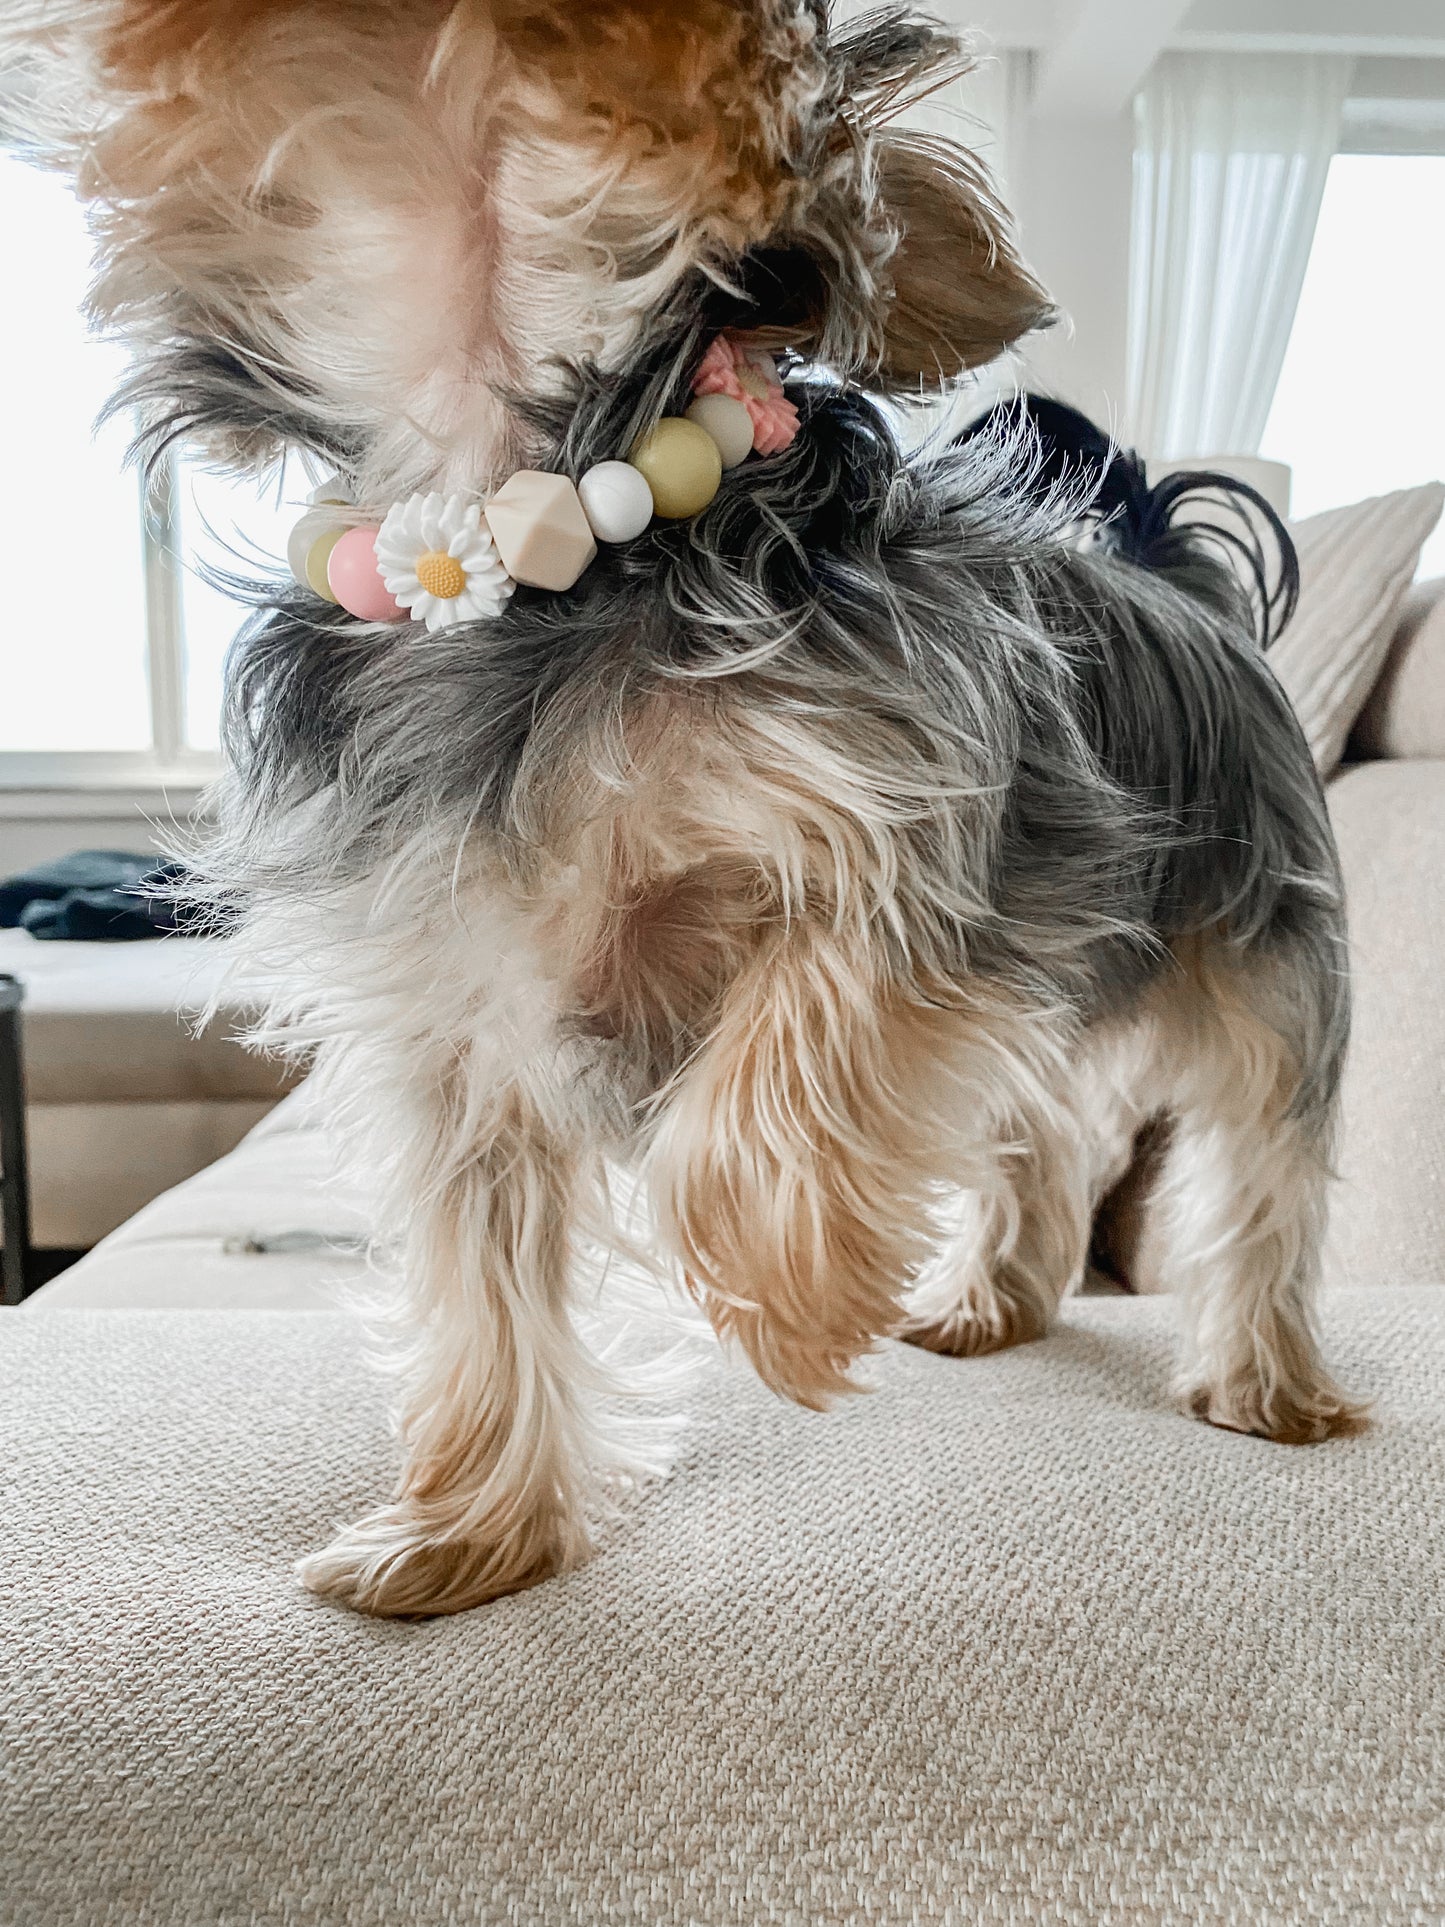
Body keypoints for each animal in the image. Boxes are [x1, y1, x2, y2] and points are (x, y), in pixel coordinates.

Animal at [5, 7, 1371, 1618]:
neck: (532, 520)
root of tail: (1176, 573)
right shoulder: (449, 988)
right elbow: (478, 1270)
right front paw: (467, 1527)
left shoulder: (906, 843)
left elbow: (768, 1078)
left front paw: (793, 1298)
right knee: (1032, 1116)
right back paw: (995, 1294)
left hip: (1259, 943)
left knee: (1262, 1151)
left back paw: (1263, 1376)